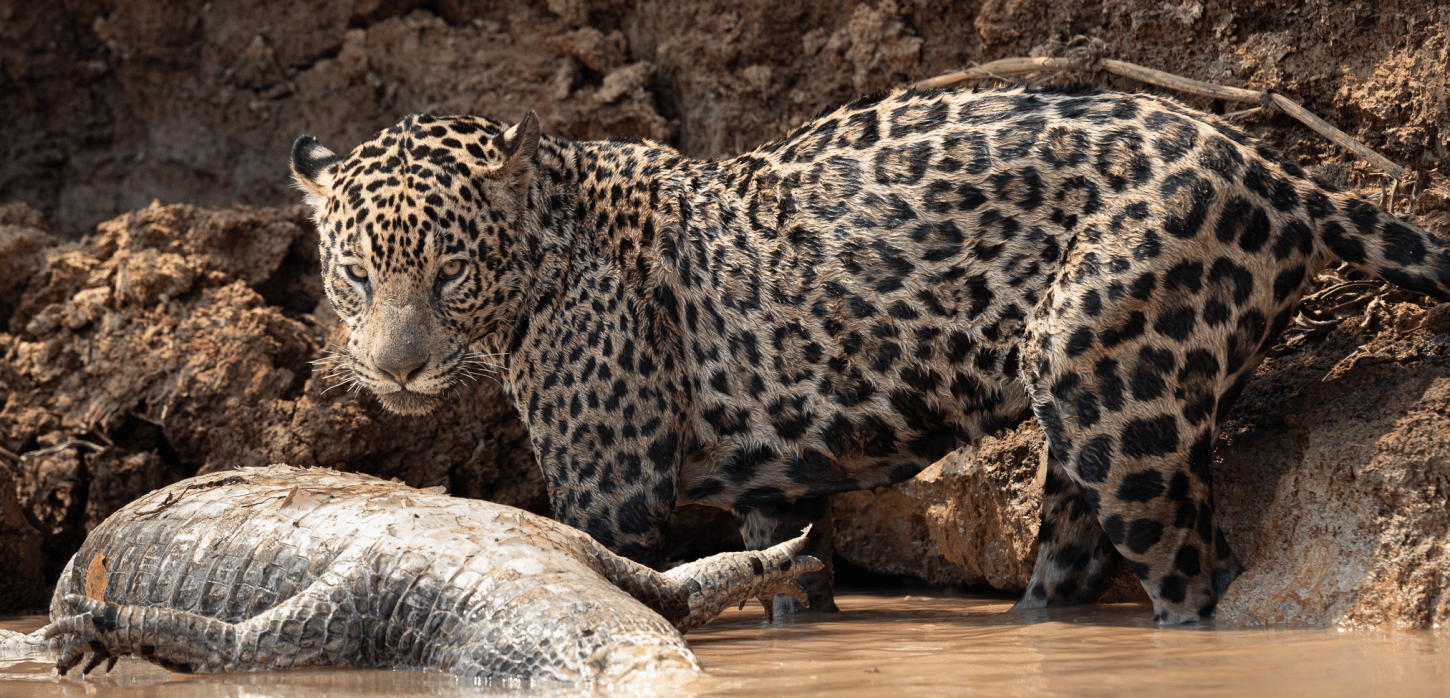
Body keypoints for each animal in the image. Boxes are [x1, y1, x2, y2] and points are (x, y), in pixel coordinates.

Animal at [290, 85, 1450, 624]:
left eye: (448, 272)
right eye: (356, 276)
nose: (393, 369)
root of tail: (1273, 168)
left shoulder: (608, 493)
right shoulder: (773, 491)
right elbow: (788, 582)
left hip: (1114, 394)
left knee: (1193, 574)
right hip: (1089, 411)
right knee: (1071, 556)